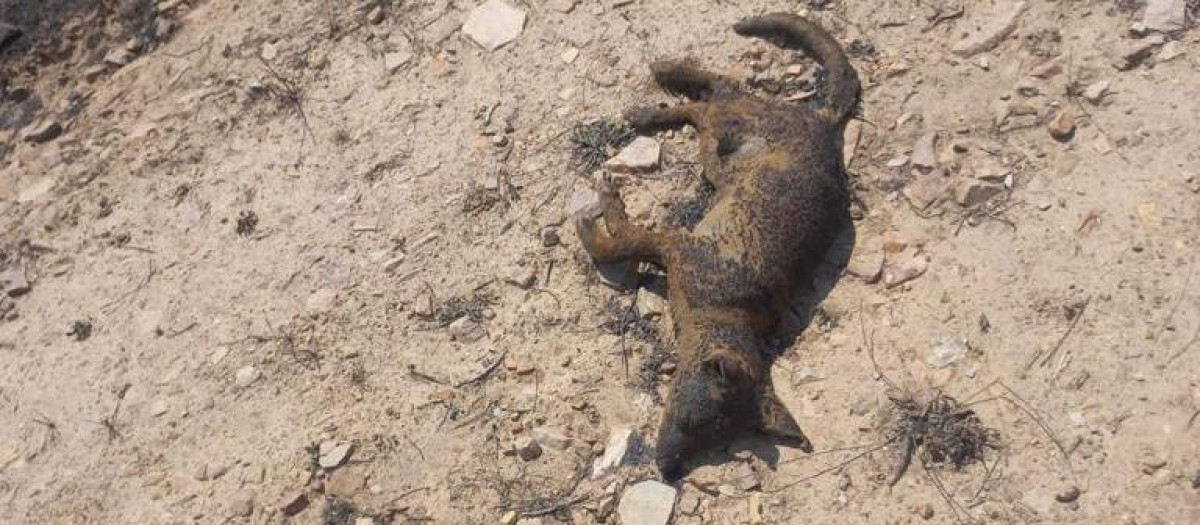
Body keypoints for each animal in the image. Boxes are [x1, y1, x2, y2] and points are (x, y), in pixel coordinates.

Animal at [575, 13, 861, 480]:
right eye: (688, 421)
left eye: (715, 445)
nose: (667, 471)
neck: (724, 313)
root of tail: (824, 120)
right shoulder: (674, 244)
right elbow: (618, 240)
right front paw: (601, 206)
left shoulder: (672, 247)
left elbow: (621, 239)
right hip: (731, 131)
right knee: (718, 90)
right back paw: (663, 81)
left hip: (719, 153)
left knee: (704, 106)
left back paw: (654, 102)